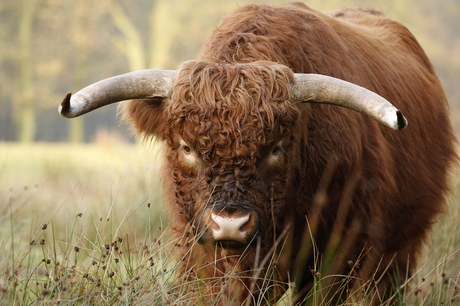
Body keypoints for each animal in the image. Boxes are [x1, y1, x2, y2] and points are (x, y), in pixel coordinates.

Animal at [58, 1, 456, 304]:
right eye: (187, 146)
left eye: (276, 147)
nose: (230, 223)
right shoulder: (199, 250)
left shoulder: (340, 251)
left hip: (400, 250)